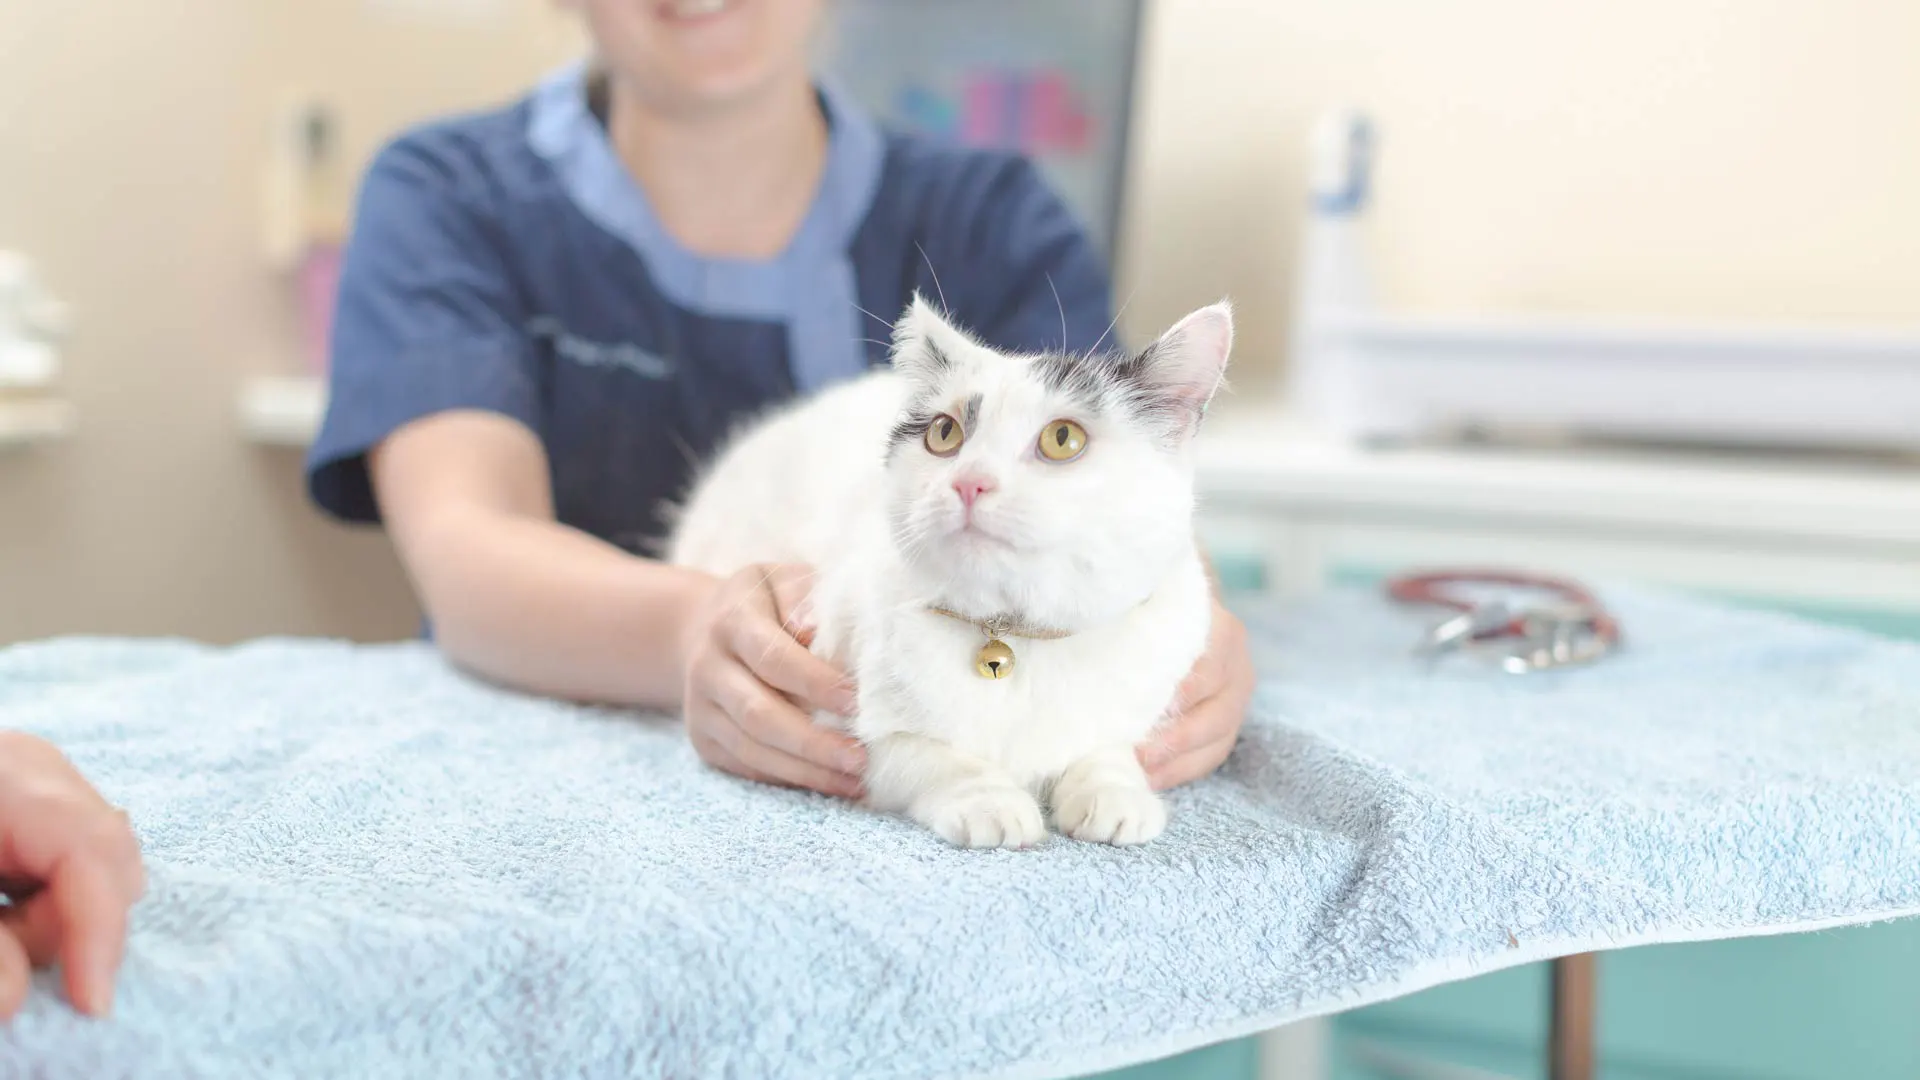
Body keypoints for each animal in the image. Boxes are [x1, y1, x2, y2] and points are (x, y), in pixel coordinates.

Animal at [668, 297, 1236, 845]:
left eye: (1062, 439)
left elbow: (1106, 748)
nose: (969, 481)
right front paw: (992, 803)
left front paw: (1115, 794)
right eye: (945, 433)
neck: (1014, 636)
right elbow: (934, 757)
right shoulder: (855, 733)